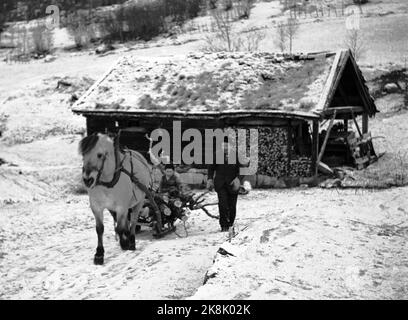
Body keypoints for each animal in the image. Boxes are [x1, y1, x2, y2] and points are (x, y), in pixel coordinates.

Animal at [78, 132, 151, 264]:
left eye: (99, 155)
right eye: (83, 154)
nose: (87, 180)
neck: (107, 183)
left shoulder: (121, 207)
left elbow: (120, 228)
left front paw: (125, 242)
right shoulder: (97, 207)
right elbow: (100, 229)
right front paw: (99, 254)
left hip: (140, 201)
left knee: (133, 220)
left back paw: (131, 241)